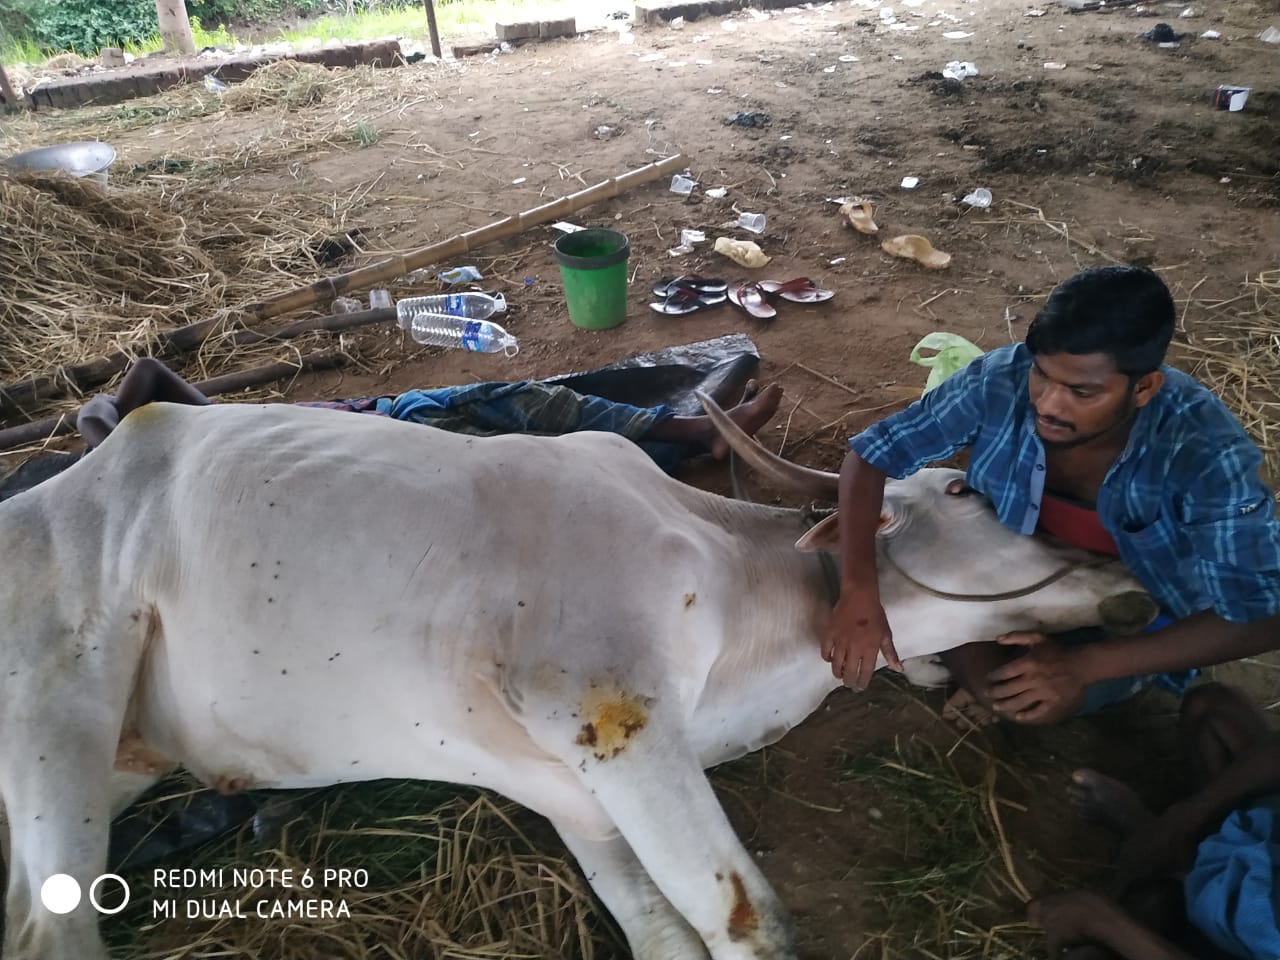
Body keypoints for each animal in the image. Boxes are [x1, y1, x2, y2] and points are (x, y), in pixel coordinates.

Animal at [0, 399, 1152, 960]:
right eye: (962, 488)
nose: (1118, 574)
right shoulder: (618, 717)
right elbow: (751, 927)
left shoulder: (582, 794)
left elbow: (664, 934)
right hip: (59, 709)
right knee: (52, 929)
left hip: (113, 764)